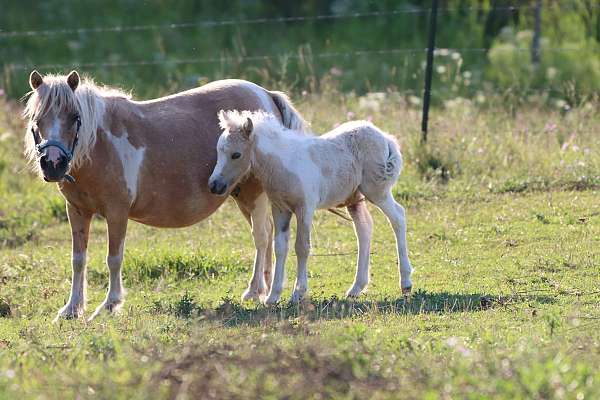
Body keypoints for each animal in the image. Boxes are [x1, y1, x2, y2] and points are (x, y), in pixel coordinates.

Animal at [23, 70, 308, 320]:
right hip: (242, 196)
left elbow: (113, 259)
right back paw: (262, 290)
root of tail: (266, 95)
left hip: (254, 194)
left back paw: (255, 291)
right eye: (37, 118)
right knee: (267, 235)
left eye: (74, 116)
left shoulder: (117, 212)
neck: (100, 145)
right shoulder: (77, 211)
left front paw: (109, 305)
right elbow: (78, 260)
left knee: (261, 238)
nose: (53, 164)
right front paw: (71, 309)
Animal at [207, 111, 412, 304]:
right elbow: (280, 247)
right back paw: (356, 288)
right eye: (218, 151)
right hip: (353, 197)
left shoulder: (305, 208)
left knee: (398, 217)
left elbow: (302, 246)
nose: (214, 185)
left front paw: (298, 293)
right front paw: (273, 296)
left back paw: (406, 282)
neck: (284, 165)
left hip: (376, 190)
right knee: (364, 228)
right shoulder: (280, 209)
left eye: (236, 154)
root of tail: (384, 136)